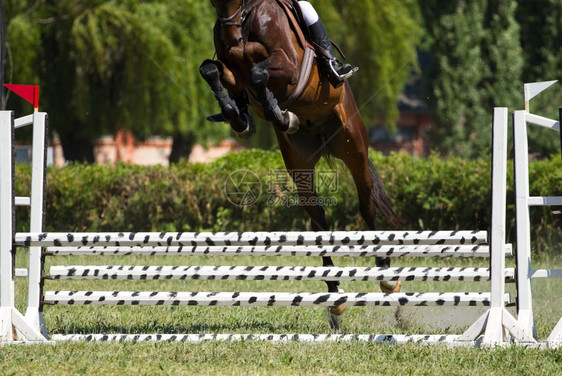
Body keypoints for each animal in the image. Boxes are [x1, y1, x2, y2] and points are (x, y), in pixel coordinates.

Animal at [199, 0, 400, 324]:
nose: (231, 37)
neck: (246, 19)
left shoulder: (288, 64)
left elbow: (258, 73)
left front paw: (275, 110)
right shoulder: (232, 69)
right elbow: (210, 69)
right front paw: (239, 116)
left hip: (354, 146)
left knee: (367, 206)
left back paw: (387, 276)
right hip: (300, 166)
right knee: (318, 220)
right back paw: (334, 295)